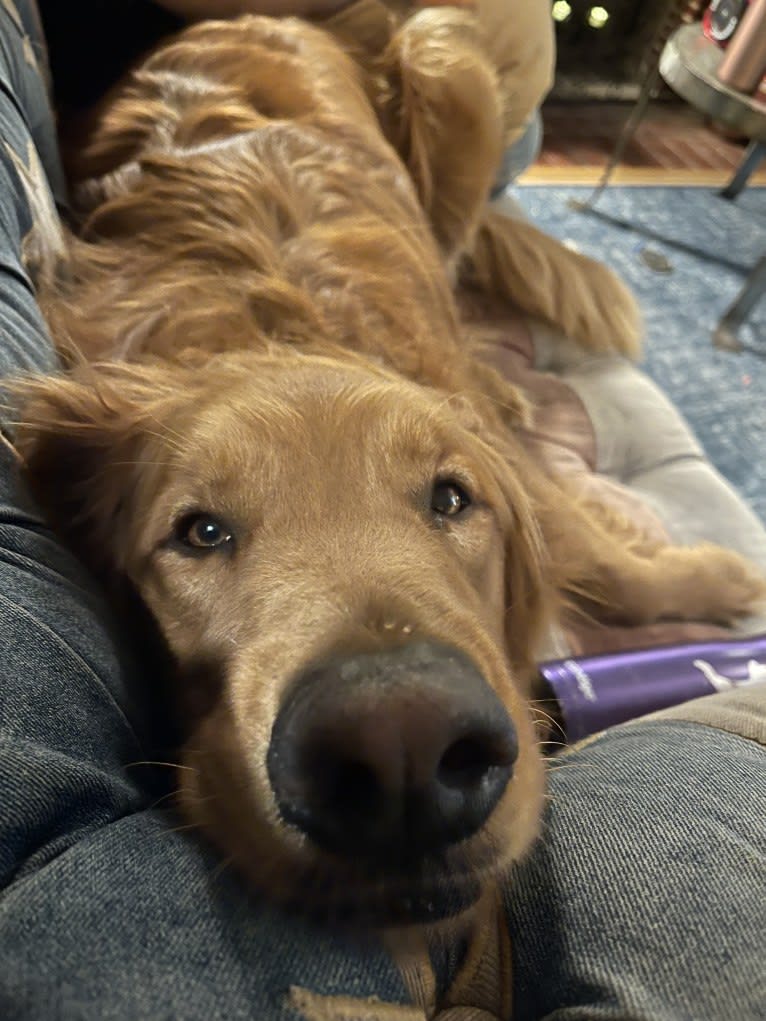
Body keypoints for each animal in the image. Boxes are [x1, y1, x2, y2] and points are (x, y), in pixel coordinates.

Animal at [12, 15, 766, 931]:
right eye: (199, 531)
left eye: (451, 498)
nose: (402, 742)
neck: (269, 331)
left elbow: (609, 564)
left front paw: (716, 579)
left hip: (451, 69)